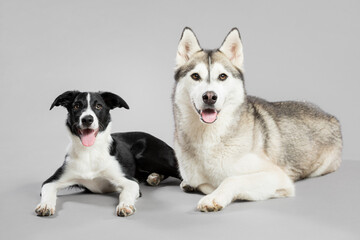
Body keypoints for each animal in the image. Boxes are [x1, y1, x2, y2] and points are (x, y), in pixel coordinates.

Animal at [35, 90, 179, 218]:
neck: (90, 152)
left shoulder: (130, 181)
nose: (87, 119)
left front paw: (125, 205)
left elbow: (125, 193)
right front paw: (45, 205)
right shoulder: (52, 180)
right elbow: (47, 190)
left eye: (98, 106)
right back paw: (155, 177)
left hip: (145, 155)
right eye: (76, 106)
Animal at [173, 27, 342, 212]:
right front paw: (194, 185)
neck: (208, 138)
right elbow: (202, 182)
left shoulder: (276, 176)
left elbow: (231, 179)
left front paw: (214, 196)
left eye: (222, 76)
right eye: (195, 76)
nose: (210, 96)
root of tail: (330, 116)